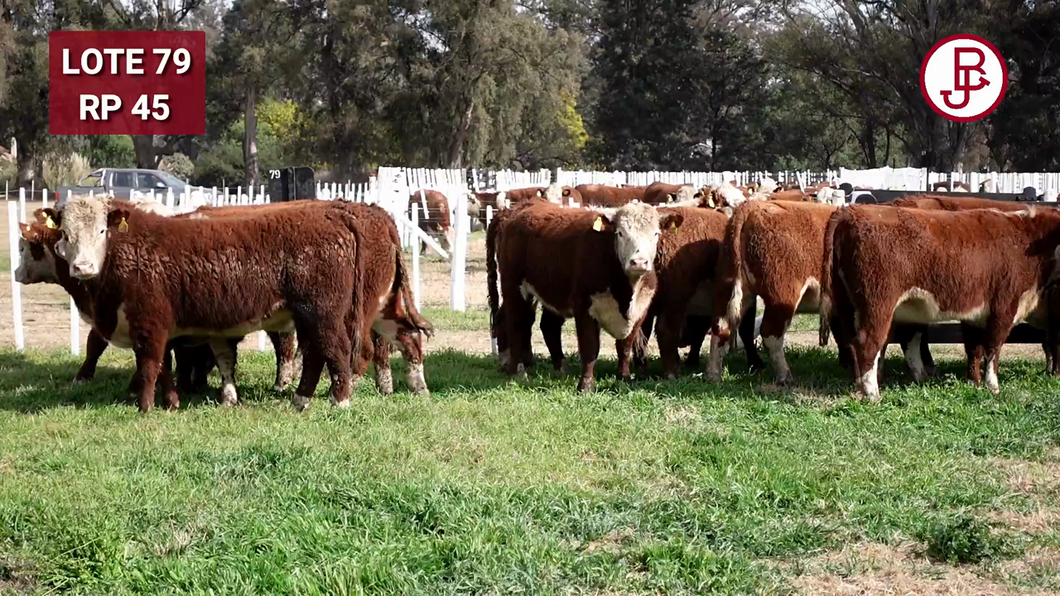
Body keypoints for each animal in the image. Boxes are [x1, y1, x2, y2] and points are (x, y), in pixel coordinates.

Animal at [56, 197, 368, 411]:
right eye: (66, 234)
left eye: (101, 231)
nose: (82, 267)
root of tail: (332, 217)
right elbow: (171, 364)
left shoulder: (149, 322)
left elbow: (149, 364)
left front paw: (146, 406)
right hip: (305, 318)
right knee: (315, 354)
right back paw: (301, 399)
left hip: (323, 314)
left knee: (337, 350)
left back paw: (340, 400)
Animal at [491, 199, 682, 390]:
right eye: (620, 233)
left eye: (656, 233)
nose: (639, 262)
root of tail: (522, 206)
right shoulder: (583, 307)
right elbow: (590, 347)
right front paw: (586, 385)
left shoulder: (640, 311)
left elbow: (625, 346)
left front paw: (624, 378)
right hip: (513, 287)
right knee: (516, 324)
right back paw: (517, 370)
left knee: (543, 325)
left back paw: (555, 367)